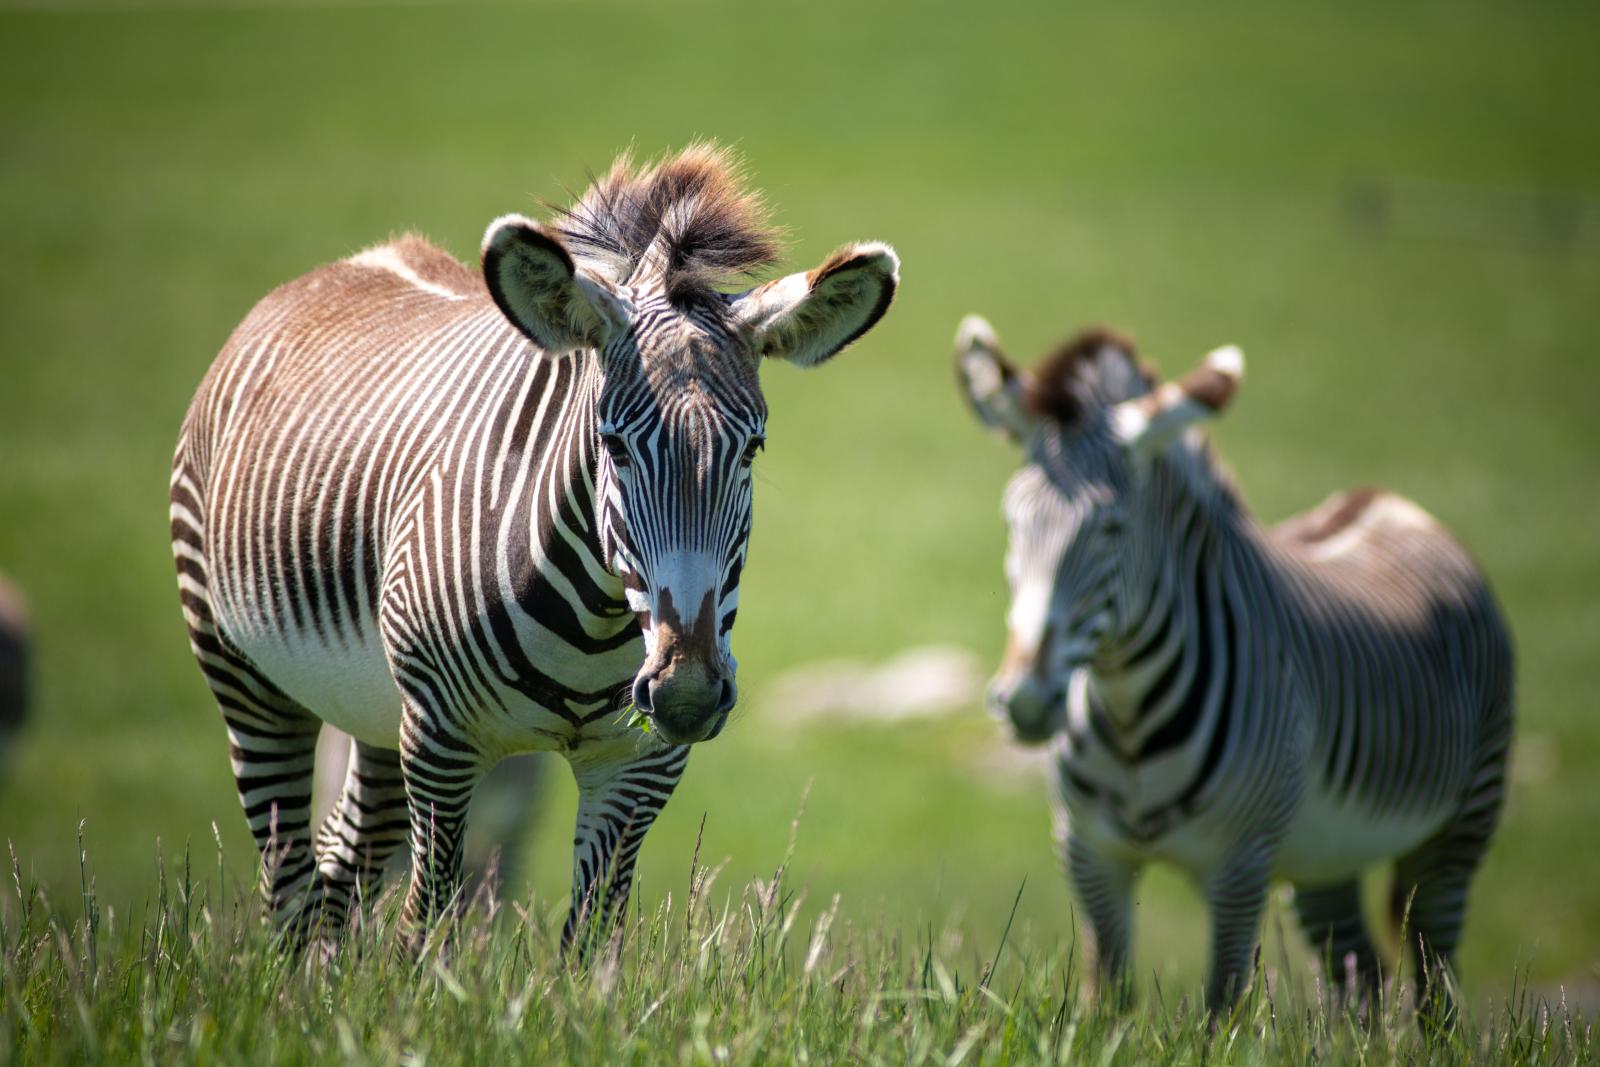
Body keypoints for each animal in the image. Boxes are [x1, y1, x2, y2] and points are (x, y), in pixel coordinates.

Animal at [169, 145, 899, 949]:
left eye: (752, 449)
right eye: (613, 445)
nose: (686, 694)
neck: (596, 626)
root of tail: (359, 260)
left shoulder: (638, 765)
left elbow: (591, 945)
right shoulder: (443, 740)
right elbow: (425, 927)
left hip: (376, 712)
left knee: (338, 861)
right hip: (245, 671)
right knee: (290, 876)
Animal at [954, 316, 1513, 1020]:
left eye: (1111, 527)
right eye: (1012, 520)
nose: (1025, 701)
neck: (1130, 715)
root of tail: (1391, 503)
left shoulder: (1240, 869)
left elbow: (1221, 1008)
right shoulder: (1089, 854)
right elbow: (1107, 1000)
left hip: (1458, 832)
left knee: (1435, 985)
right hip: (1327, 855)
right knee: (1362, 977)